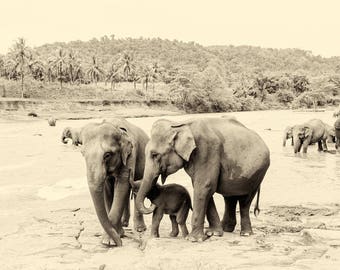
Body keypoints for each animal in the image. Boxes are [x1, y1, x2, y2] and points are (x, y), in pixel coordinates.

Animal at [81, 118, 149, 247]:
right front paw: (116, 235)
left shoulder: (130, 155)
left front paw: (109, 241)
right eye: (83, 154)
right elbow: (108, 191)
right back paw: (124, 224)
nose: (120, 243)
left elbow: (122, 185)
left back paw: (139, 229)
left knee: (137, 189)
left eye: (107, 155)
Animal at [135, 117, 270, 242]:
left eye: (154, 155)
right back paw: (226, 228)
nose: (152, 204)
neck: (180, 124)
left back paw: (245, 233)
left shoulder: (206, 150)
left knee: (245, 200)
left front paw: (194, 239)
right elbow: (201, 187)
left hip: (258, 173)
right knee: (229, 198)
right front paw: (213, 233)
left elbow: (204, 186)